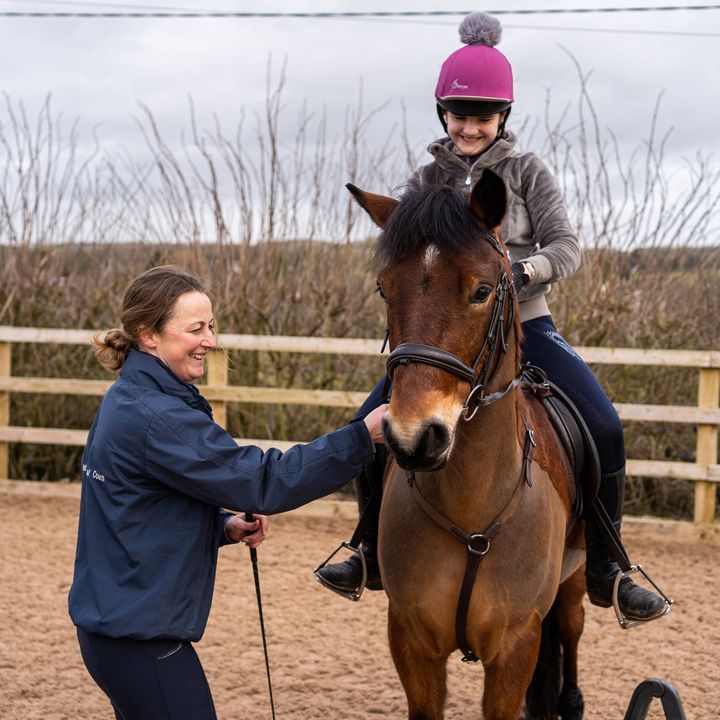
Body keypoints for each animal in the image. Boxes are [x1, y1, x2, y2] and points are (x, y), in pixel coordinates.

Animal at [348, 170, 592, 720]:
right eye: (383, 290)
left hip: (573, 584)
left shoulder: (514, 646)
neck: (471, 509)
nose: (415, 437)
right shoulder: (411, 640)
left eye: (482, 291)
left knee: (569, 636)